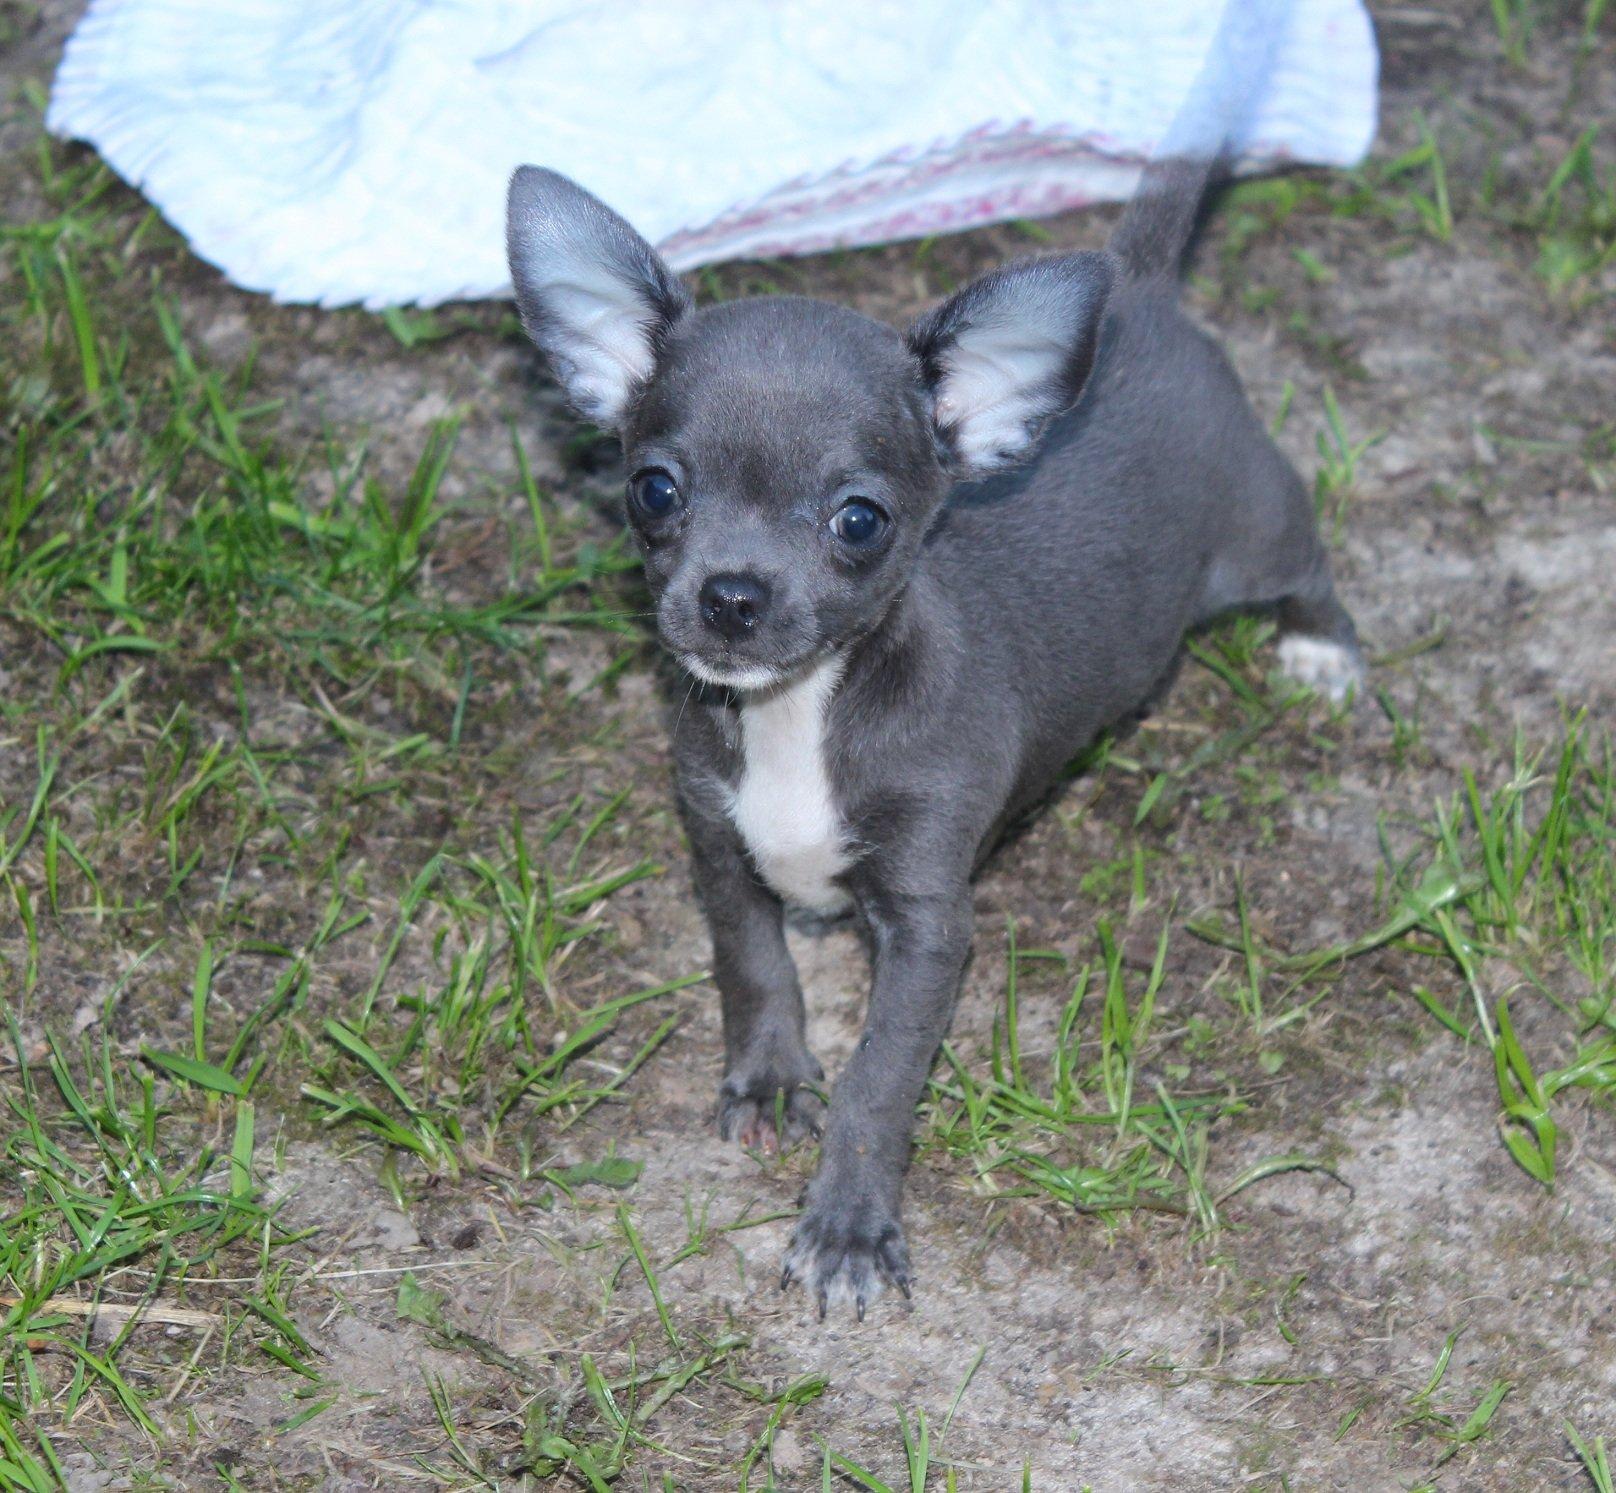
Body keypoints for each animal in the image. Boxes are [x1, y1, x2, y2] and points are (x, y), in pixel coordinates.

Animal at [507, 154, 1363, 1318]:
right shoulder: (717, 844)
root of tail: (1138, 288)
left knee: (1309, 560)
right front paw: (771, 1072)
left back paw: (1323, 647)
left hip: (1255, 536)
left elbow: (879, 1079)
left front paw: (848, 1231)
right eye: (654, 489)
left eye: (858, 520)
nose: (729, 597)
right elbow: (749, 963)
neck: (801, 712)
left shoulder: (927, 927)